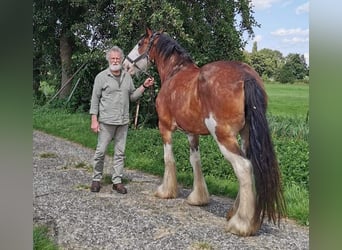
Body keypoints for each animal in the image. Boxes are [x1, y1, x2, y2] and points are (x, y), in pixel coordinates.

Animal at [123, 28, 286, 235]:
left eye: (140, 43)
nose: (125, 64)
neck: (175, 72)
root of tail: (246, 76)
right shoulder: (192, 133)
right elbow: (195, 161)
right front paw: (198, 198)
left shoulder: (165, 127)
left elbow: (168, 159)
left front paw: (166, 191)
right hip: (246, 136)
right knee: (249, 166)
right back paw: (236, 213)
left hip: (223, 136)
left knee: (243, 167)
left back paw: (241, 223)